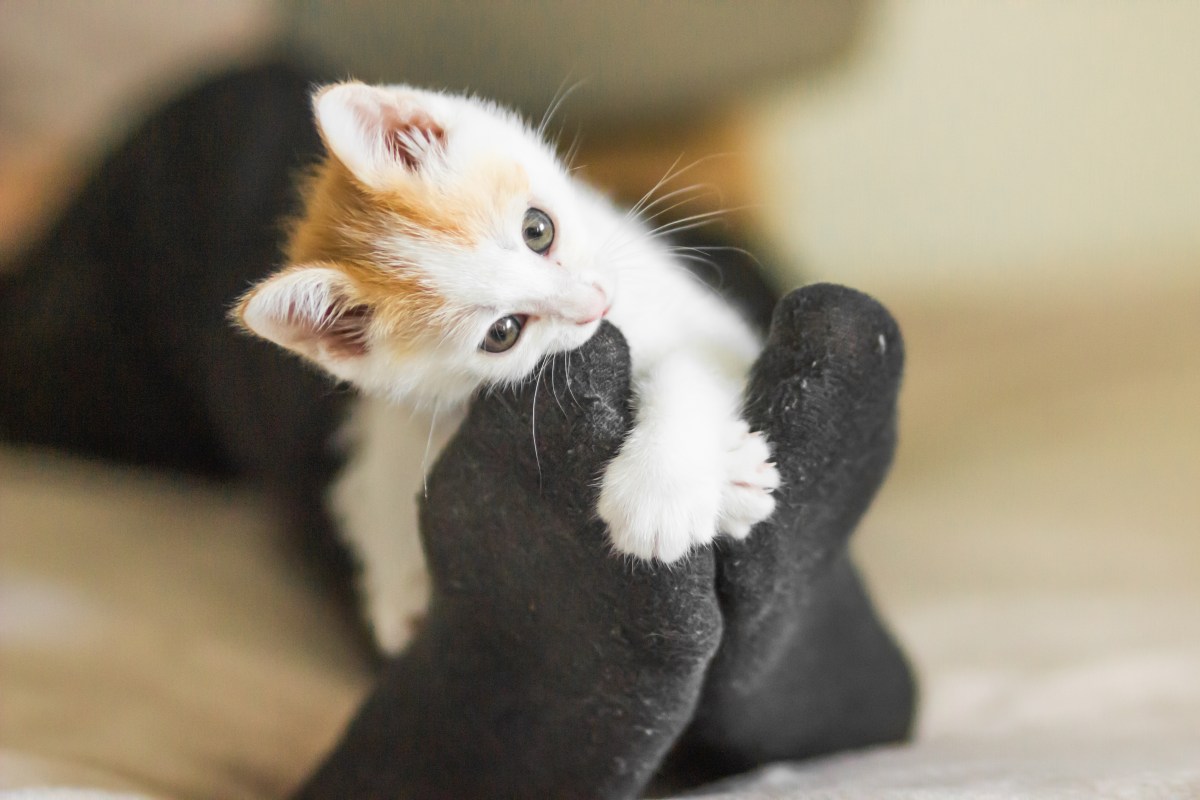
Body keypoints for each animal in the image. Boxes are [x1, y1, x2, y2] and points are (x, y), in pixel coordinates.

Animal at [236, 82, 777, 657]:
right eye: (503, 333)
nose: (595, 304)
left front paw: (659, 493)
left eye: (537, 229)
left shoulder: (715, 330)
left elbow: (691, 366)